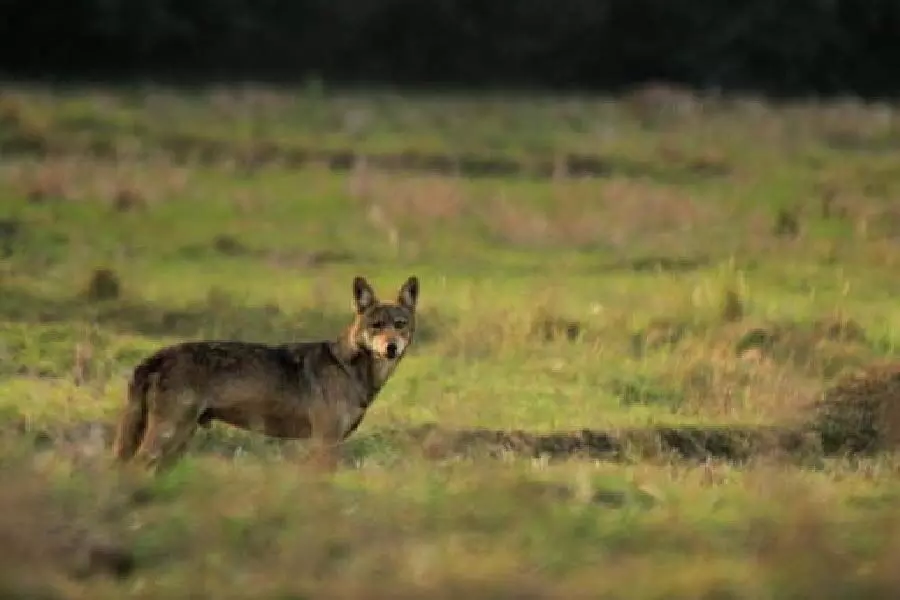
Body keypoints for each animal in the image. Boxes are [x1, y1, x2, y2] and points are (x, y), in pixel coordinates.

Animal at [112, 274, 418, 472]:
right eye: (376, 325)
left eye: (400, 324)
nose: (391, 347)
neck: (348, 366)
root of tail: (158, 355)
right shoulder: (325, 442)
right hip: (168, 436)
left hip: (179, 442)